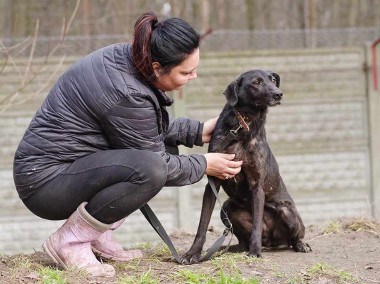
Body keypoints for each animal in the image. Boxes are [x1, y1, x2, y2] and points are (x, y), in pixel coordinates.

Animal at [181, 69, 312, 264]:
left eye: (273, 80)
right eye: (256, 82)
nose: (278, 94)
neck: (243, 125)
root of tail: (271, 242)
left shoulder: (257, 185)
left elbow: (257, 224)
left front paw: (255, 251)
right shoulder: (213, 183)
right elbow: (202, 225)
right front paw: (193, 253)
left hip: (286, 212)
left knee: (293, 238)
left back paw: (299, 244)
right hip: (227, 207)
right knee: (242, 241)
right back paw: (228, 248)